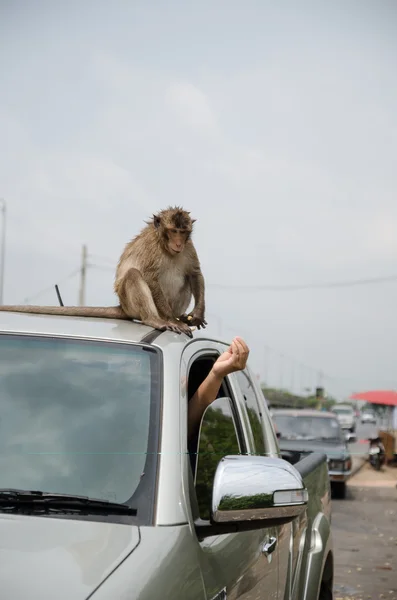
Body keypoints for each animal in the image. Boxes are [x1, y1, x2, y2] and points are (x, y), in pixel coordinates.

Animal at [0, 205, 206, 338]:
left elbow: (194, 273)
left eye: (183, 232)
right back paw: (157, 319)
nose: (178, 243)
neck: (165, 247)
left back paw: (180, 316)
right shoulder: (151, 248)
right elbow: (150, 278)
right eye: (173, 231)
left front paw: (197, 314)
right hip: (130, 304)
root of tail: (122, 307)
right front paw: (173, 321)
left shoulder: (189, 247)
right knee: (133, 275)